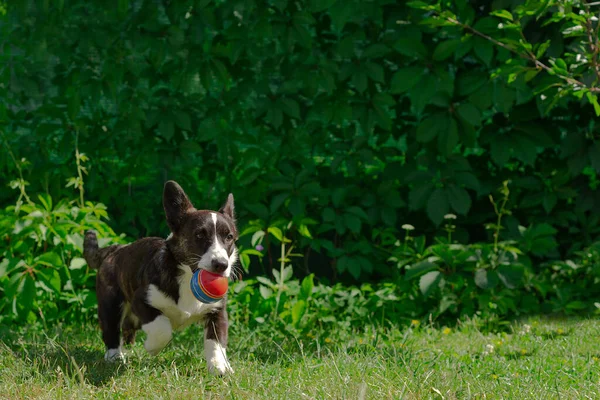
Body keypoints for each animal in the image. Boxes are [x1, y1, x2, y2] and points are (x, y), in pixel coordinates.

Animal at [83, 181, 238, 376]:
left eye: (229, 237)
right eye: (199, 235)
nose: (221, 265)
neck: (186, 277)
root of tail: (115, 249)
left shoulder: (217, 312)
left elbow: (216, 341)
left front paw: (220, 367)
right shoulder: (142, 300)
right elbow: (162, 328)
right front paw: (151, 348)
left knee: (128, 330)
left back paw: (127, 352)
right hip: (111, 304)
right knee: (111, 330)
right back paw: (115, 357)